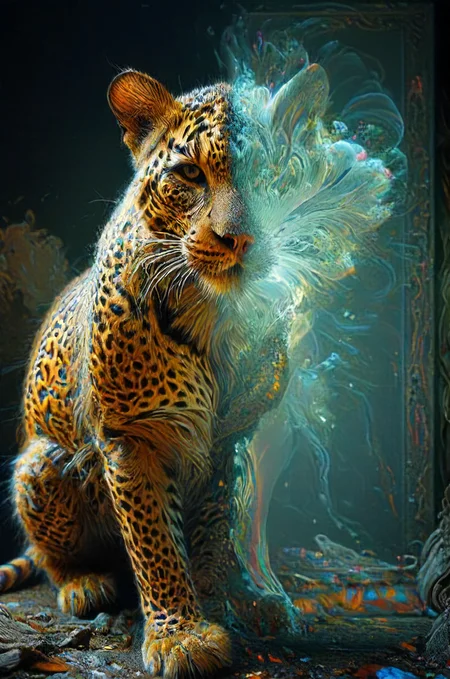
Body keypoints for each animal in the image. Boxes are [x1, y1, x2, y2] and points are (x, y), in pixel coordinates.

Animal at [0, 69, 303, 679]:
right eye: (189, 173)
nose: (239, 240)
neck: (216, 314)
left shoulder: (226, 440)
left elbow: (214, 529)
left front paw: (223, 595)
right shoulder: (131, 436)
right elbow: (155, 541)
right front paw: (180, 637)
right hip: (41, 462)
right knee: (47, 553)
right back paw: (84, 585)